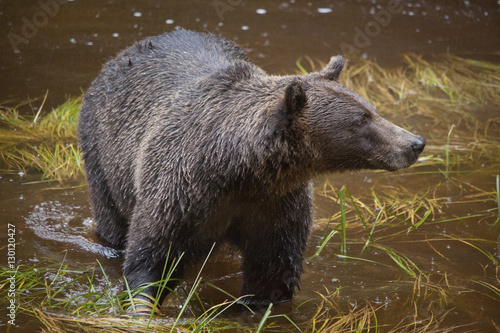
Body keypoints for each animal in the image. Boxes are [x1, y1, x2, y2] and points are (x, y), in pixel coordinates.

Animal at [77, 29, 422, 308]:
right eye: (361, 120)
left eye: (372, 110)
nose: (415, 143)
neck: (239, 169)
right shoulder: (180, 192)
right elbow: (152, 254)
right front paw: (144, 304)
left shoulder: (275, 204)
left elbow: (272, 269)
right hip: (102, 158)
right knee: (112, 222)